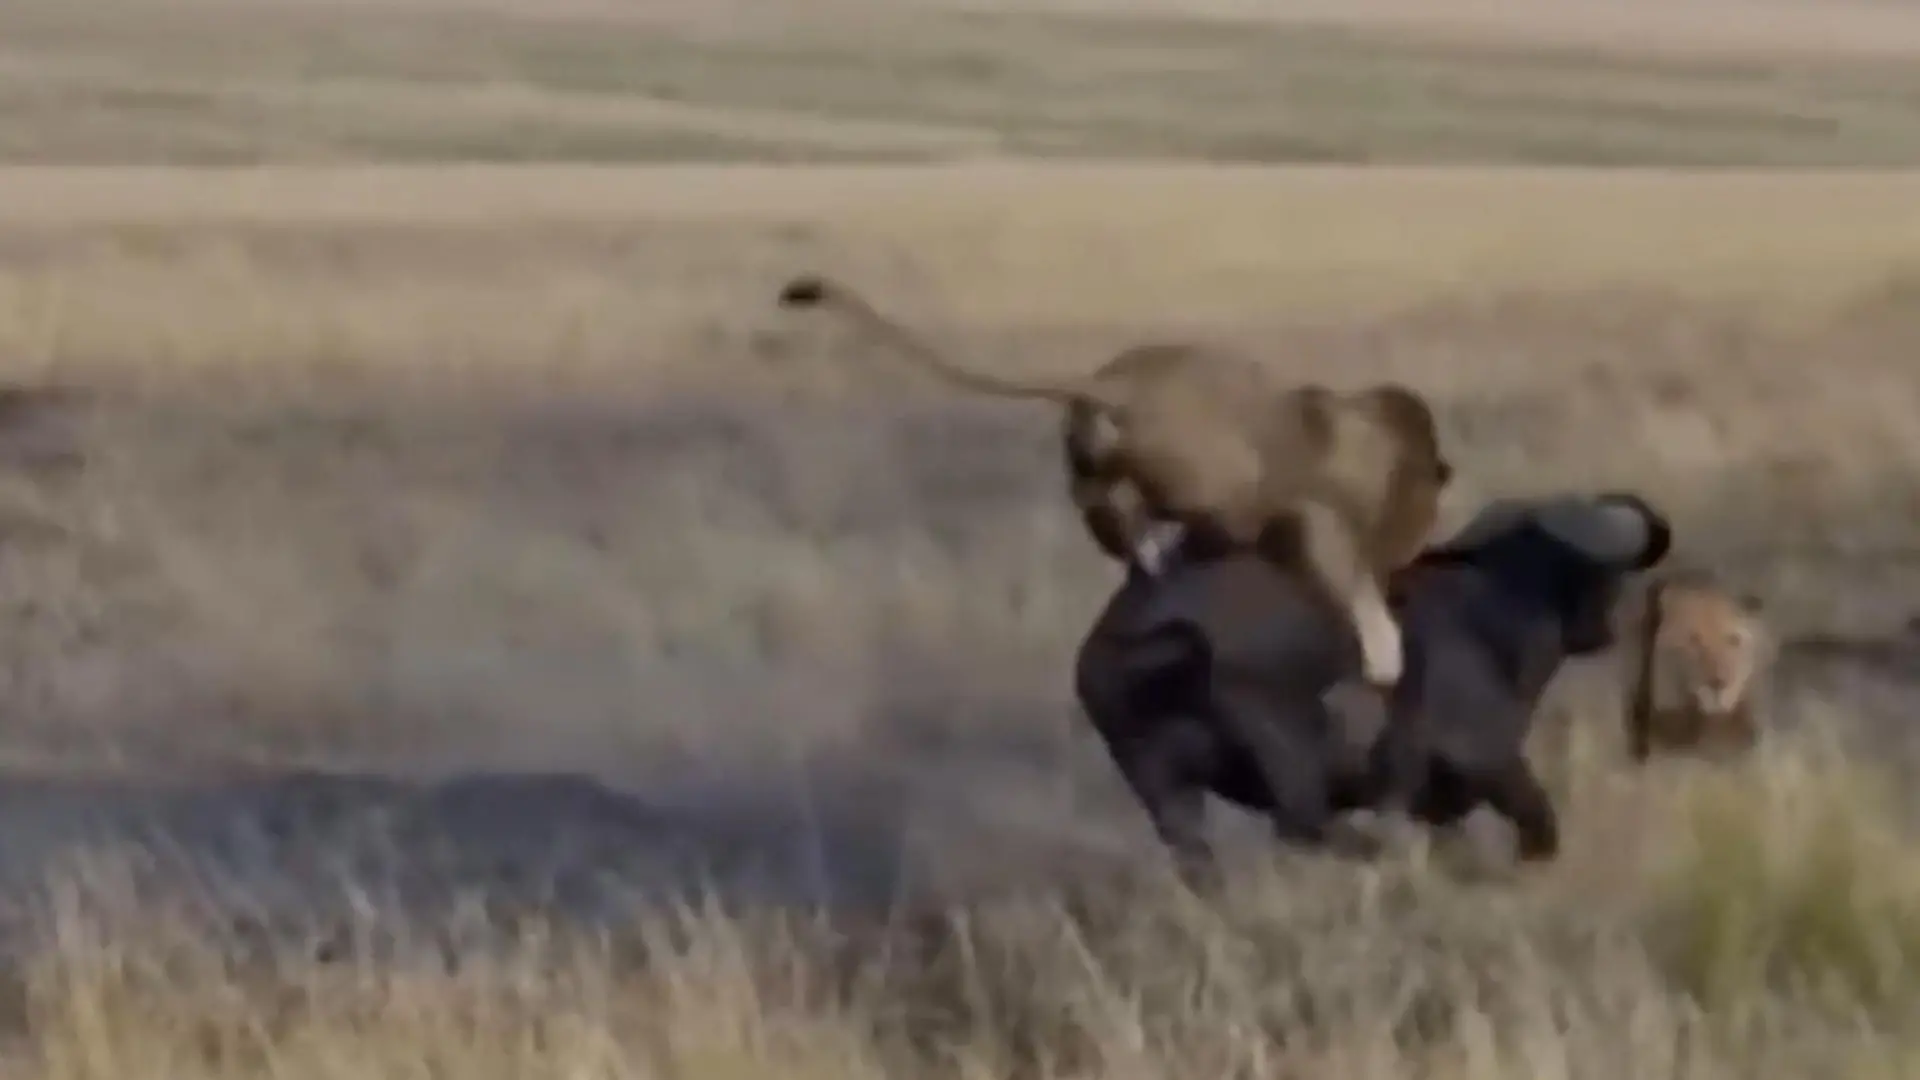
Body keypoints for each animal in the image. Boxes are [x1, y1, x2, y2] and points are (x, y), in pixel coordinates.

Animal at [775, 273, 1454, 688]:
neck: (1382, 451)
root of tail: (1118, 386)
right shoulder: (1314, 524)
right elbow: (1357, 598)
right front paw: (1385, 658)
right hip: (1224, 483)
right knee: (1199, 521)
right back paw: (1168, 550)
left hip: (1094, 469)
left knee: (1109, 514)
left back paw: (1151, 556)